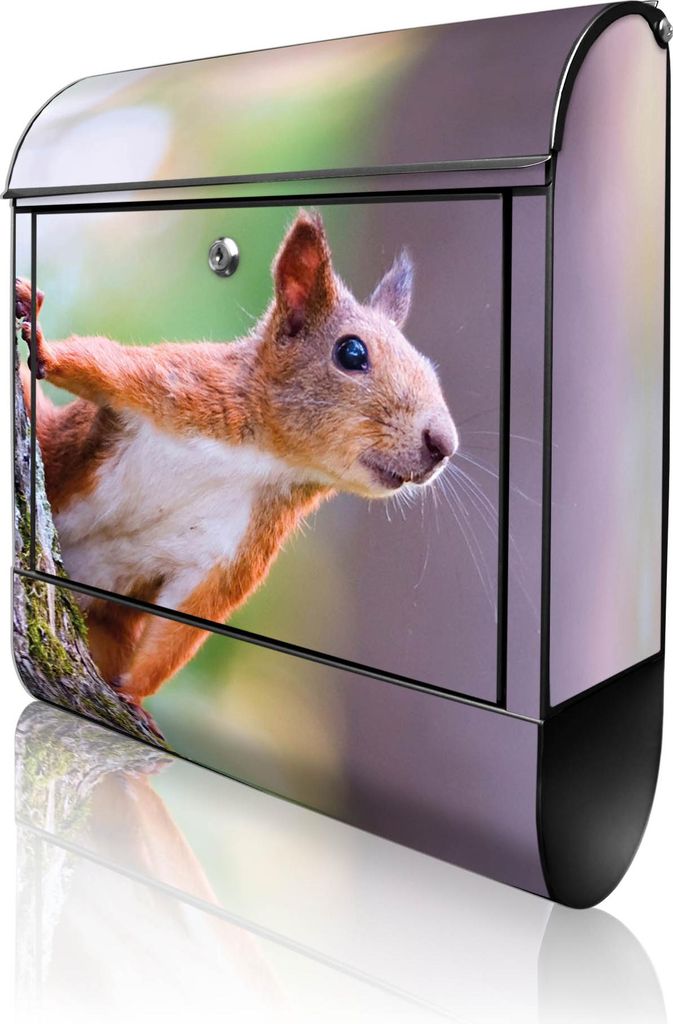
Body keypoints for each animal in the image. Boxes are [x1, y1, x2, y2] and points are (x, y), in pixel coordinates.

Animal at [16, 210, 458, 707]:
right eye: (352, 352)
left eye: (430, 367)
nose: (443, 444)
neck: (261, 457)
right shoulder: (176, 386)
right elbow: (98, 364)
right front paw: (44, 346)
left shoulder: (235, 548)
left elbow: (185, 622)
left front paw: (132, 697)